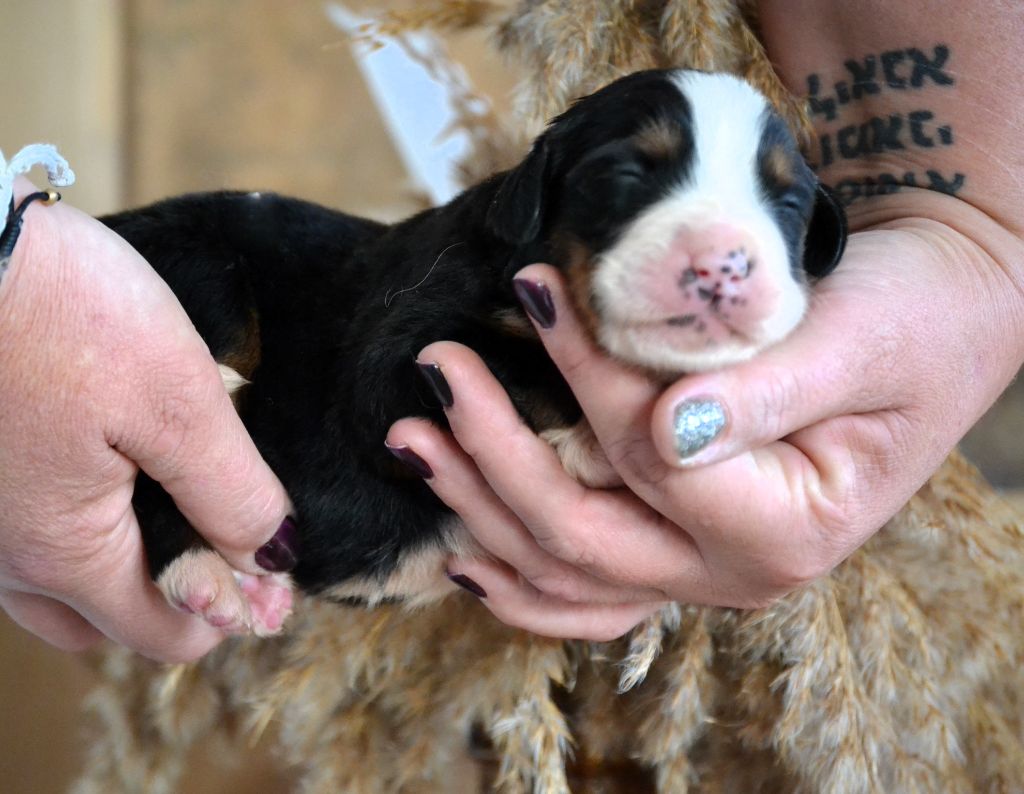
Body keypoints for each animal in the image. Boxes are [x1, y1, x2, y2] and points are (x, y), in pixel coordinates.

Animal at [99, 71, 843, 635]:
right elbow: (514, 358)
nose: (722, 265)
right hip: (196, 268)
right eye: (629, 173)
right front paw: (596, 443)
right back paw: (210, 576)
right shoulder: (396, 356)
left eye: (788, 202)